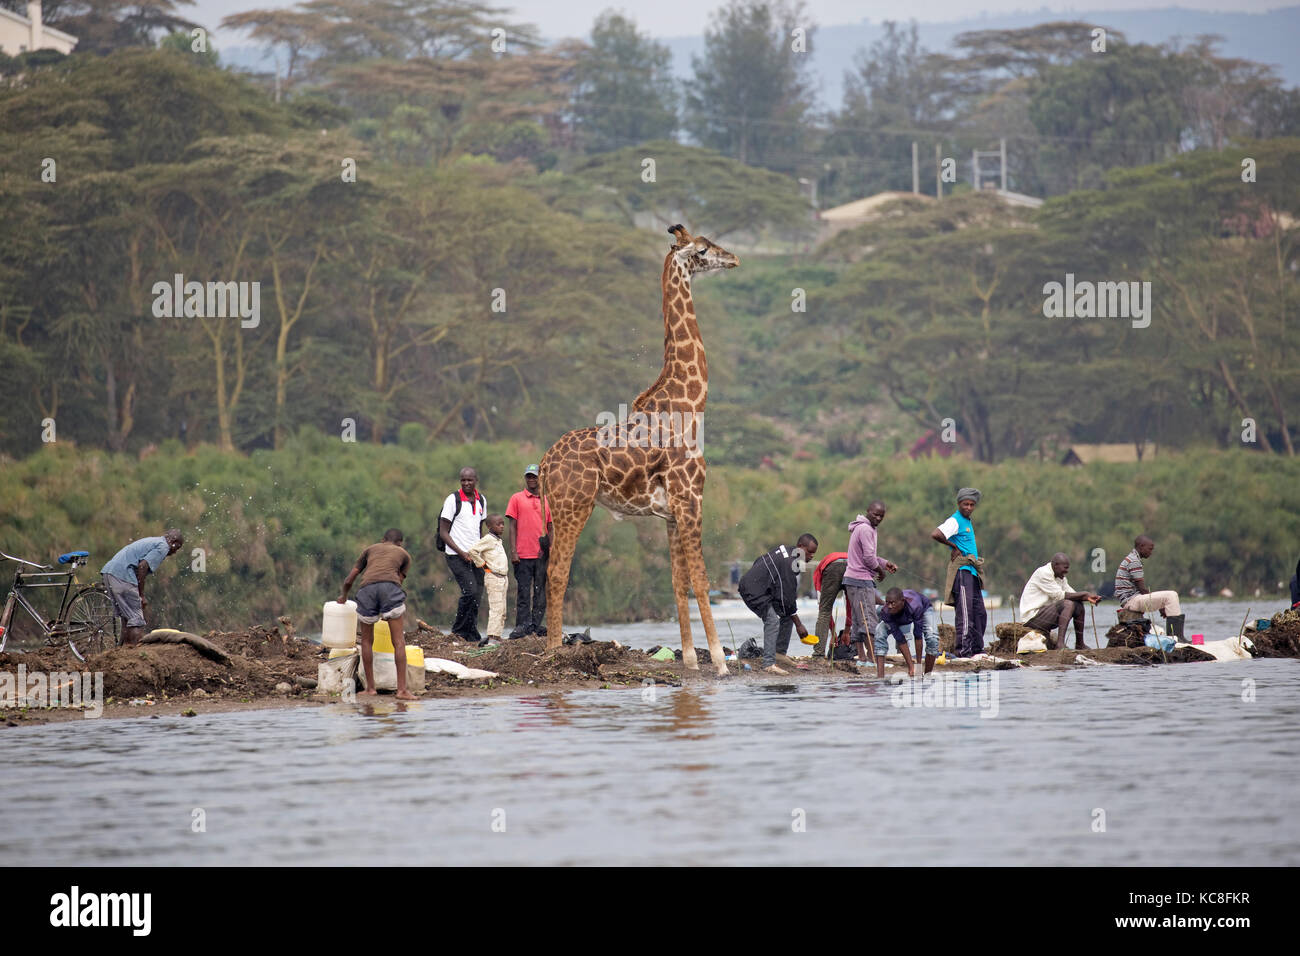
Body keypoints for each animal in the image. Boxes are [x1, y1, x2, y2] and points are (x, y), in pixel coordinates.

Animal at [538, 225, 738, 676]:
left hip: (560, 508)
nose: (734, 258)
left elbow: (678, 583)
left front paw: (690, 660)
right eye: (703, 249)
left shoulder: (671, 512)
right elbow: (702, 580)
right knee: (557, 571)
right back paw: (554, 651)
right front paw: (719, 662)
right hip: (574, 504)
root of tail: (543, 465)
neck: (690, 405)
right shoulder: (692, 498)